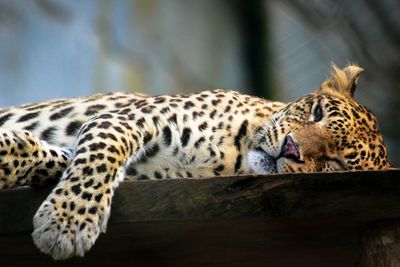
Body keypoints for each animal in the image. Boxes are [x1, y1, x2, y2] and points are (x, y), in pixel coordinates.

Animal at [0, 62, 390, 260]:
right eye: (317, 112)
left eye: (336, 162)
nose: (291, 149)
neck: (236, 153)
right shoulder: (128, 117)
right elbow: (101, 153)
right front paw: (67, 223)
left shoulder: (145, 171)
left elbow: (62, 157)